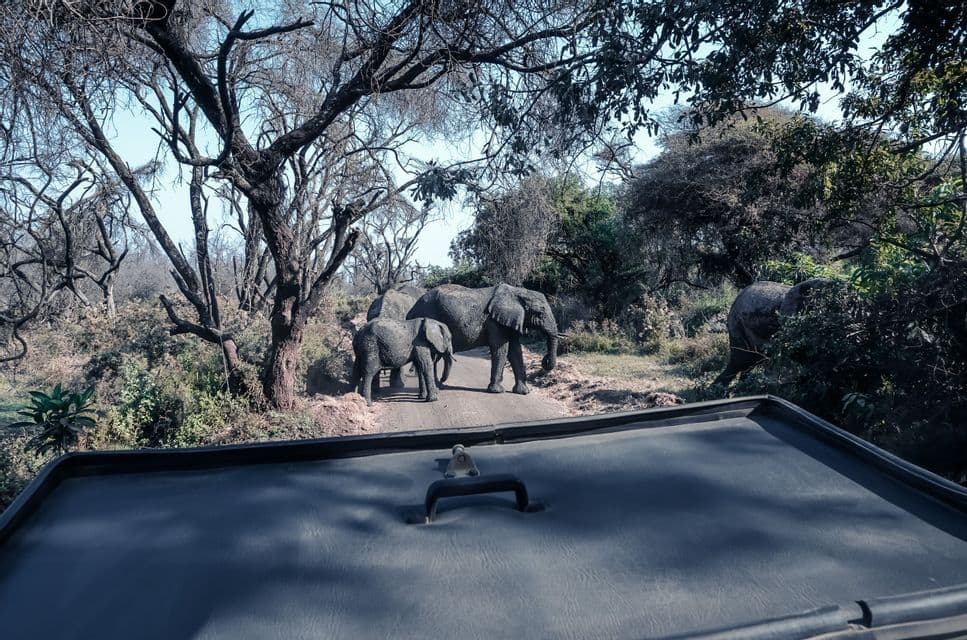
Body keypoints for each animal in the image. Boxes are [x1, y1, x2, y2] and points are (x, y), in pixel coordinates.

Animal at [407, 283, 558, 394]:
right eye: (540, 313)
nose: (545, 360)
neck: (518, 292)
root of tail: (412, 309)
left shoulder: (511, 320)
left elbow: (515, 352)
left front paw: (523, 392)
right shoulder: (495, 322)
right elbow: (502, 349)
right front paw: (497, 391)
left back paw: (439, 385)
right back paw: (438, 386)